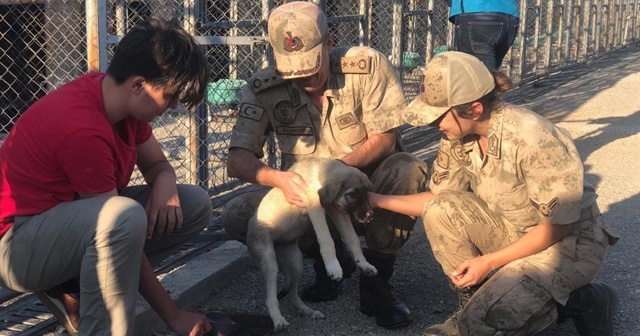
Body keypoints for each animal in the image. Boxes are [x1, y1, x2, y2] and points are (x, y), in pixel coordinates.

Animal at [246, 158, 378, 330]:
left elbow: (352, 238)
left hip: (296, 263)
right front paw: (333, 267)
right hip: (268, 260)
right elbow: (326, 239)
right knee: (271, 297)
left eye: (366, 193)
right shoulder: (316, 207)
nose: (370, 216)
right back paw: (278, 320)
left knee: (292, 295)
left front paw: (364, 264)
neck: (320, 172)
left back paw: (308, 311)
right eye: (351, 194)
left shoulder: (337, 211)